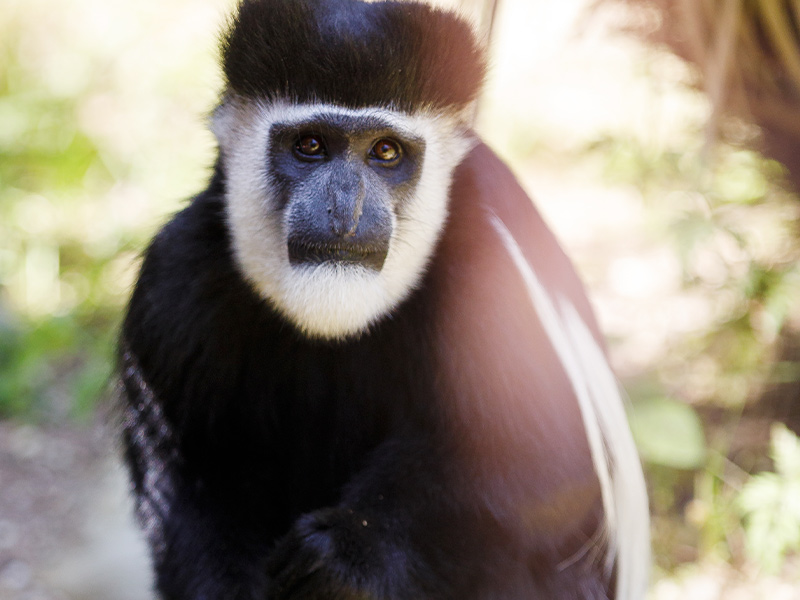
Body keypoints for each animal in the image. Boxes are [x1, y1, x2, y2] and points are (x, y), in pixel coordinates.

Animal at [119, 0, 648, 596]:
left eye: (385, 152)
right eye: (310, 145)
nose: (345, 208)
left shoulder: (499, 283)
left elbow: (549, 466)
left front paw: (346, 552)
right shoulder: (173, 285)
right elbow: (189, 493)